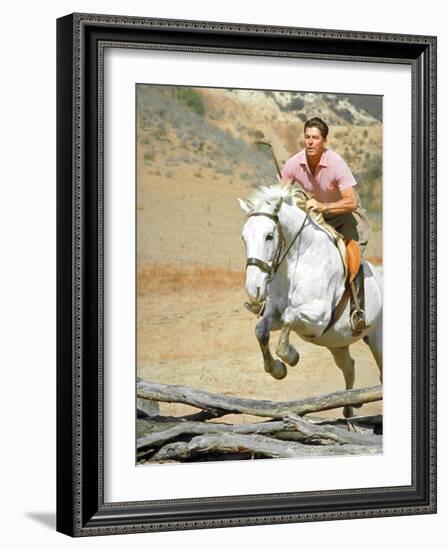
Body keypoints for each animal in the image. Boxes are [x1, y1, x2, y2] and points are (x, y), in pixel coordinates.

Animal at [240, 185, 384, 418]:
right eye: (244, 237)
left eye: (269, 236)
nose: (254, 290)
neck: (297, 263)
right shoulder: (273, 314)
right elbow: (261, 330)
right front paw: (277, 369)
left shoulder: (317, 318)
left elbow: (289, 317)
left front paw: (291, 356)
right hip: (337, 343)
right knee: (349, 367)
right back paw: (350, 410)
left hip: (377, 339)